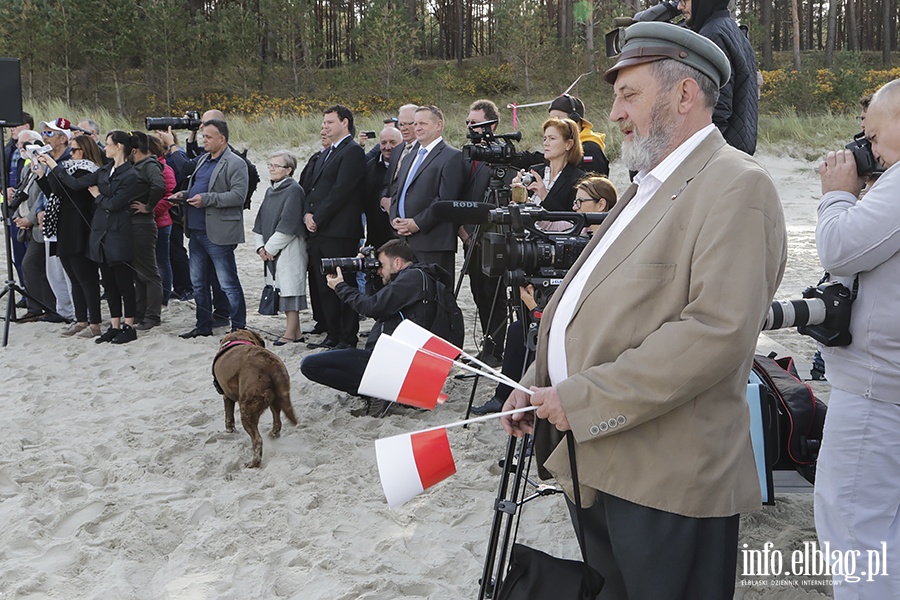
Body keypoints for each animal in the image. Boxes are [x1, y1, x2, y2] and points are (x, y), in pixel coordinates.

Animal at [212, 330, 298, 466]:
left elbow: (229, 417)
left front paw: (230, 431)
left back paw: (253, 463)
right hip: (275, 400)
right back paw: (273, 434)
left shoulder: (226, 396)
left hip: (247, 409)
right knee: (277, 421)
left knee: (257, 440)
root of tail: (271, 364)